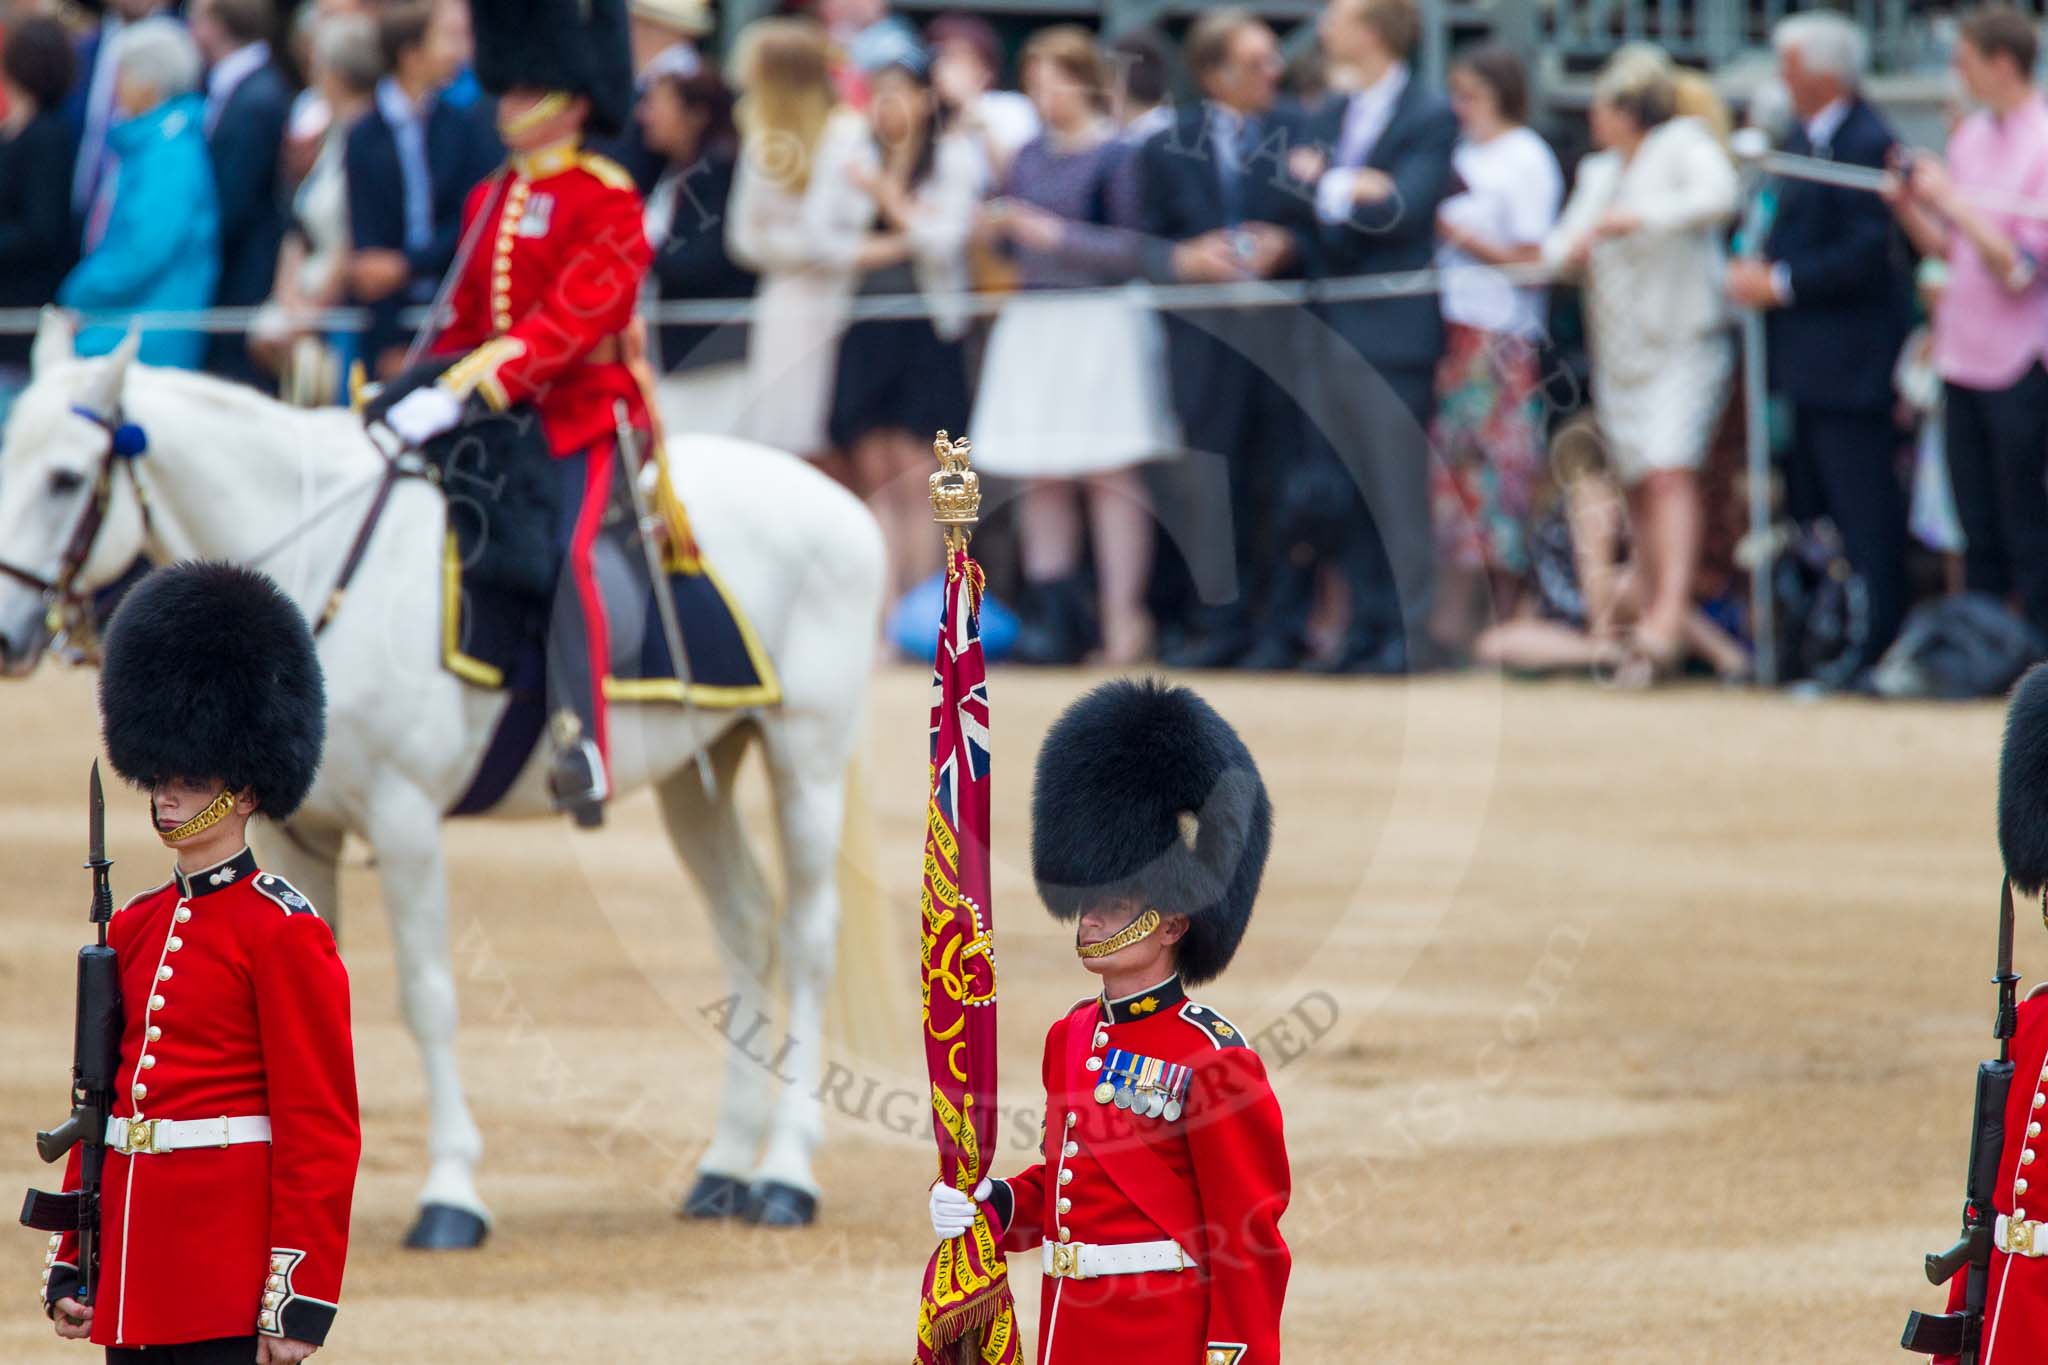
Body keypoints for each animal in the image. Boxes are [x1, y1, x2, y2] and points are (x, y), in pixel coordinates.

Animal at [4, 315, 892, 1244]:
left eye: (65, 477)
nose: (6, 636)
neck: (322, 567)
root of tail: (842, 504)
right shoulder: (296, 829)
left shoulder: (404, 820)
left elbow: (427, 996)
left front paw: (450, 1192)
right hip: (696, 767)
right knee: (746, 927)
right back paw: (724, 1168)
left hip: (806, 757)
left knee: (809, 936)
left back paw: (786, 1173)